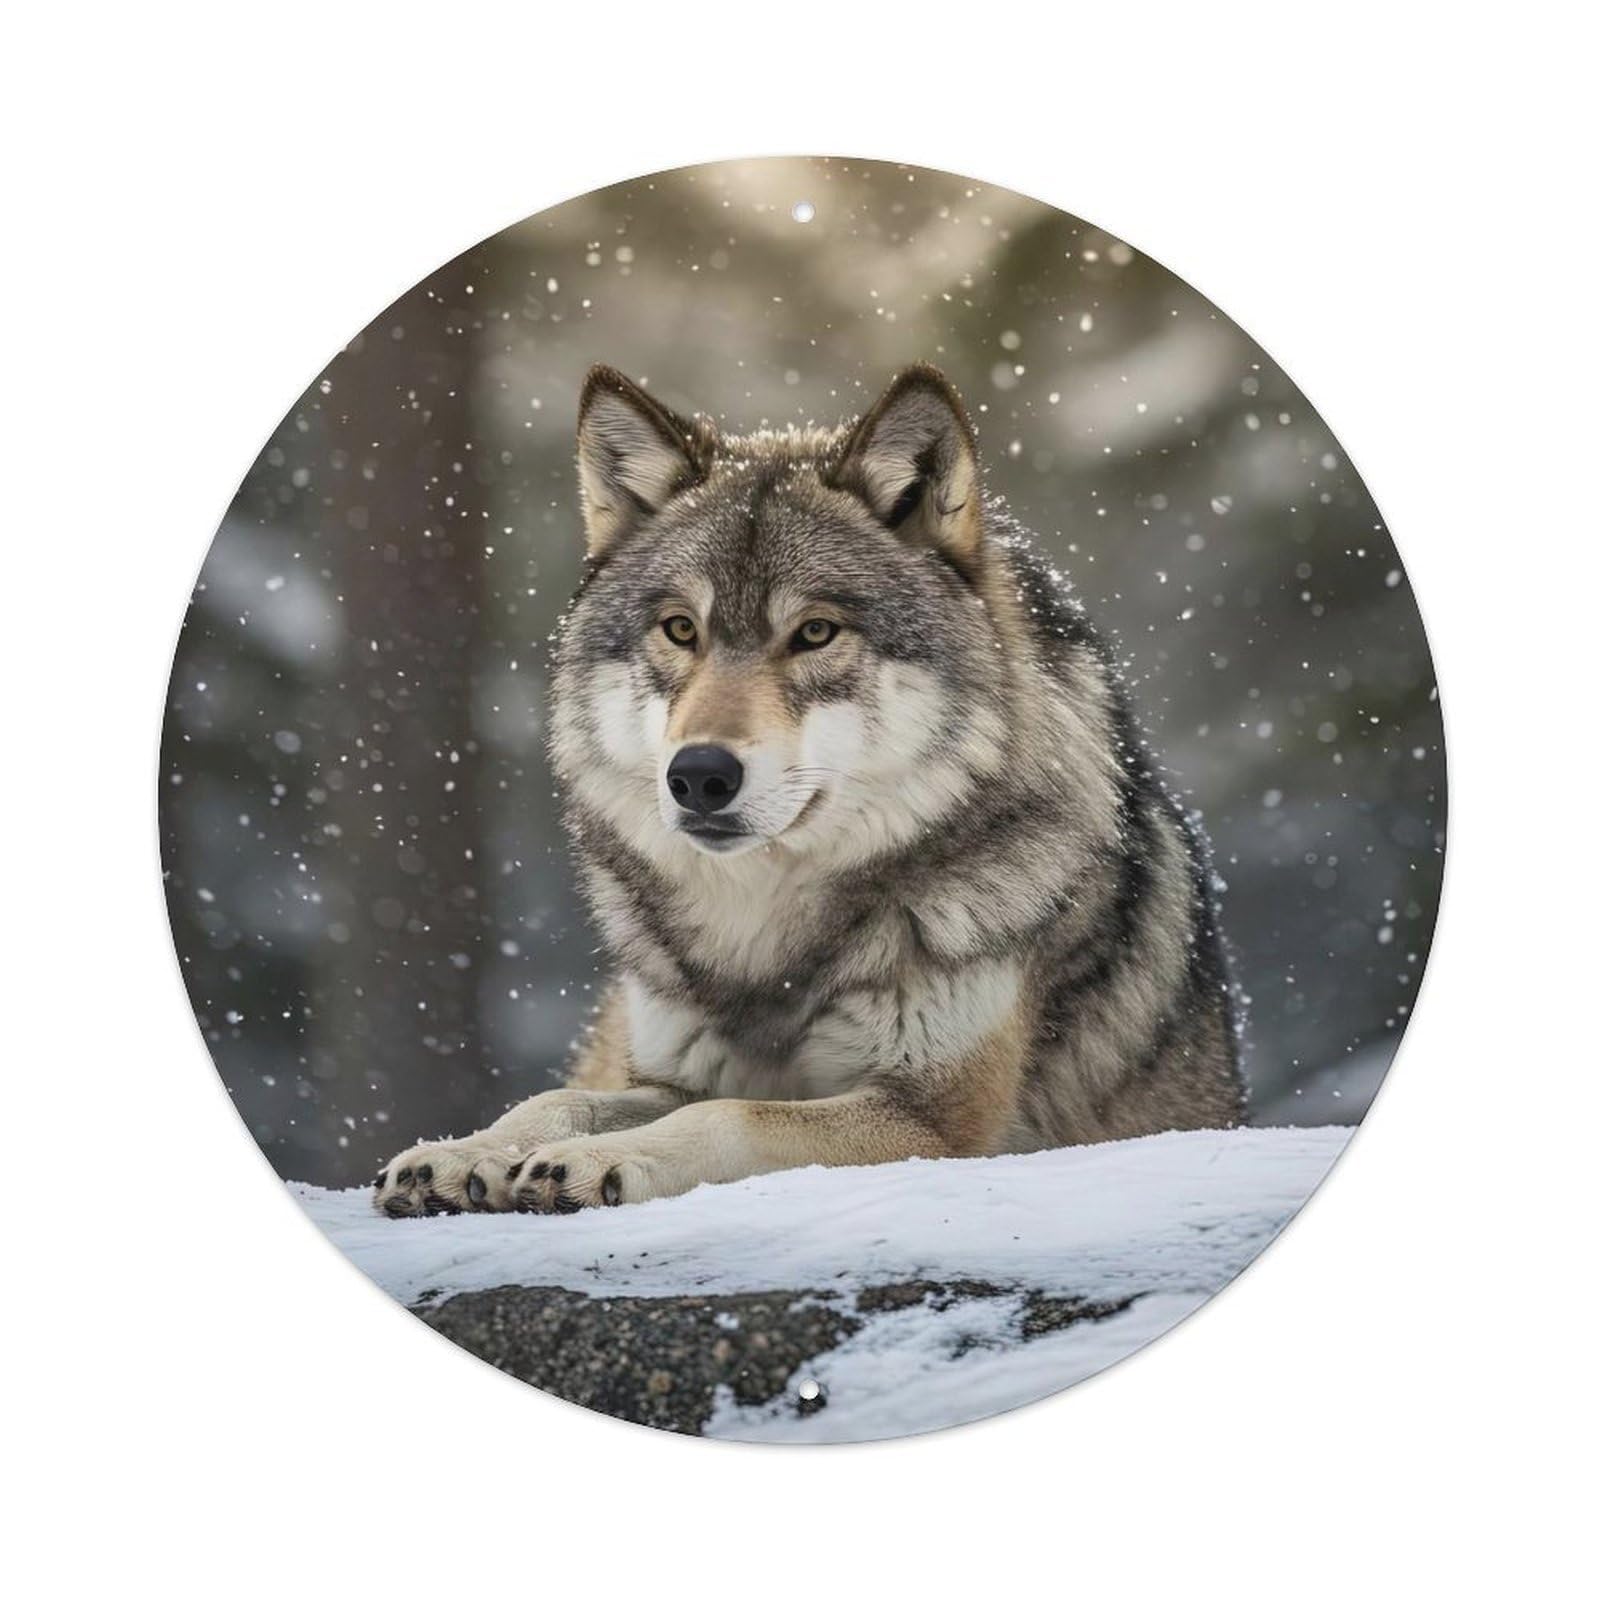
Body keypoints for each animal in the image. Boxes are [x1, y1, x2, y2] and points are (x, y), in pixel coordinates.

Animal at [374, 363, 1243, 1217]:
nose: (698, 775)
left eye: (816, 633)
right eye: (681, 630)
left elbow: (729, 1115)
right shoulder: (665, 1076)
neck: (767, 945)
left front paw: (594, 1163)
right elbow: (558, 1102)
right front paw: (464, 1154)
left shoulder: (936, 1119)